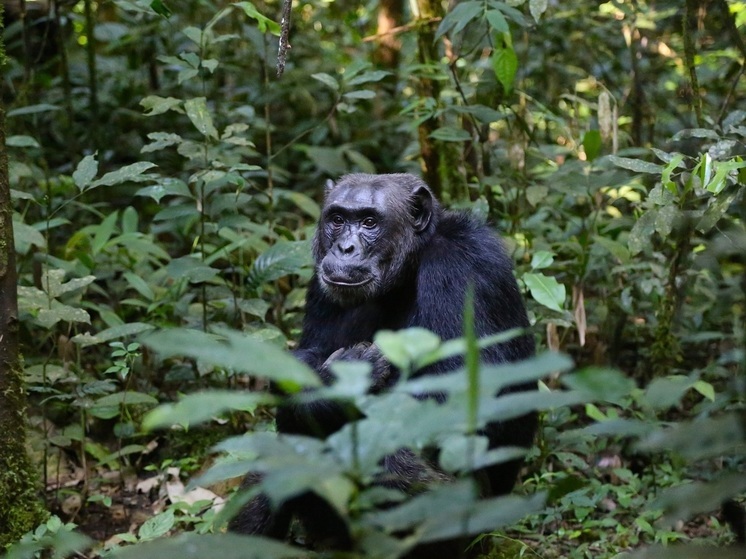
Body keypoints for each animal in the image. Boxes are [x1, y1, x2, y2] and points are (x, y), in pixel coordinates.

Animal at [228, 174, 536, 556]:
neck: (407, 271)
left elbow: (467, 398)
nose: (345, 248)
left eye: (369, 222)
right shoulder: (319, 284)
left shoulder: (465, 268)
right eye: (337, 219)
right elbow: (305, 361)